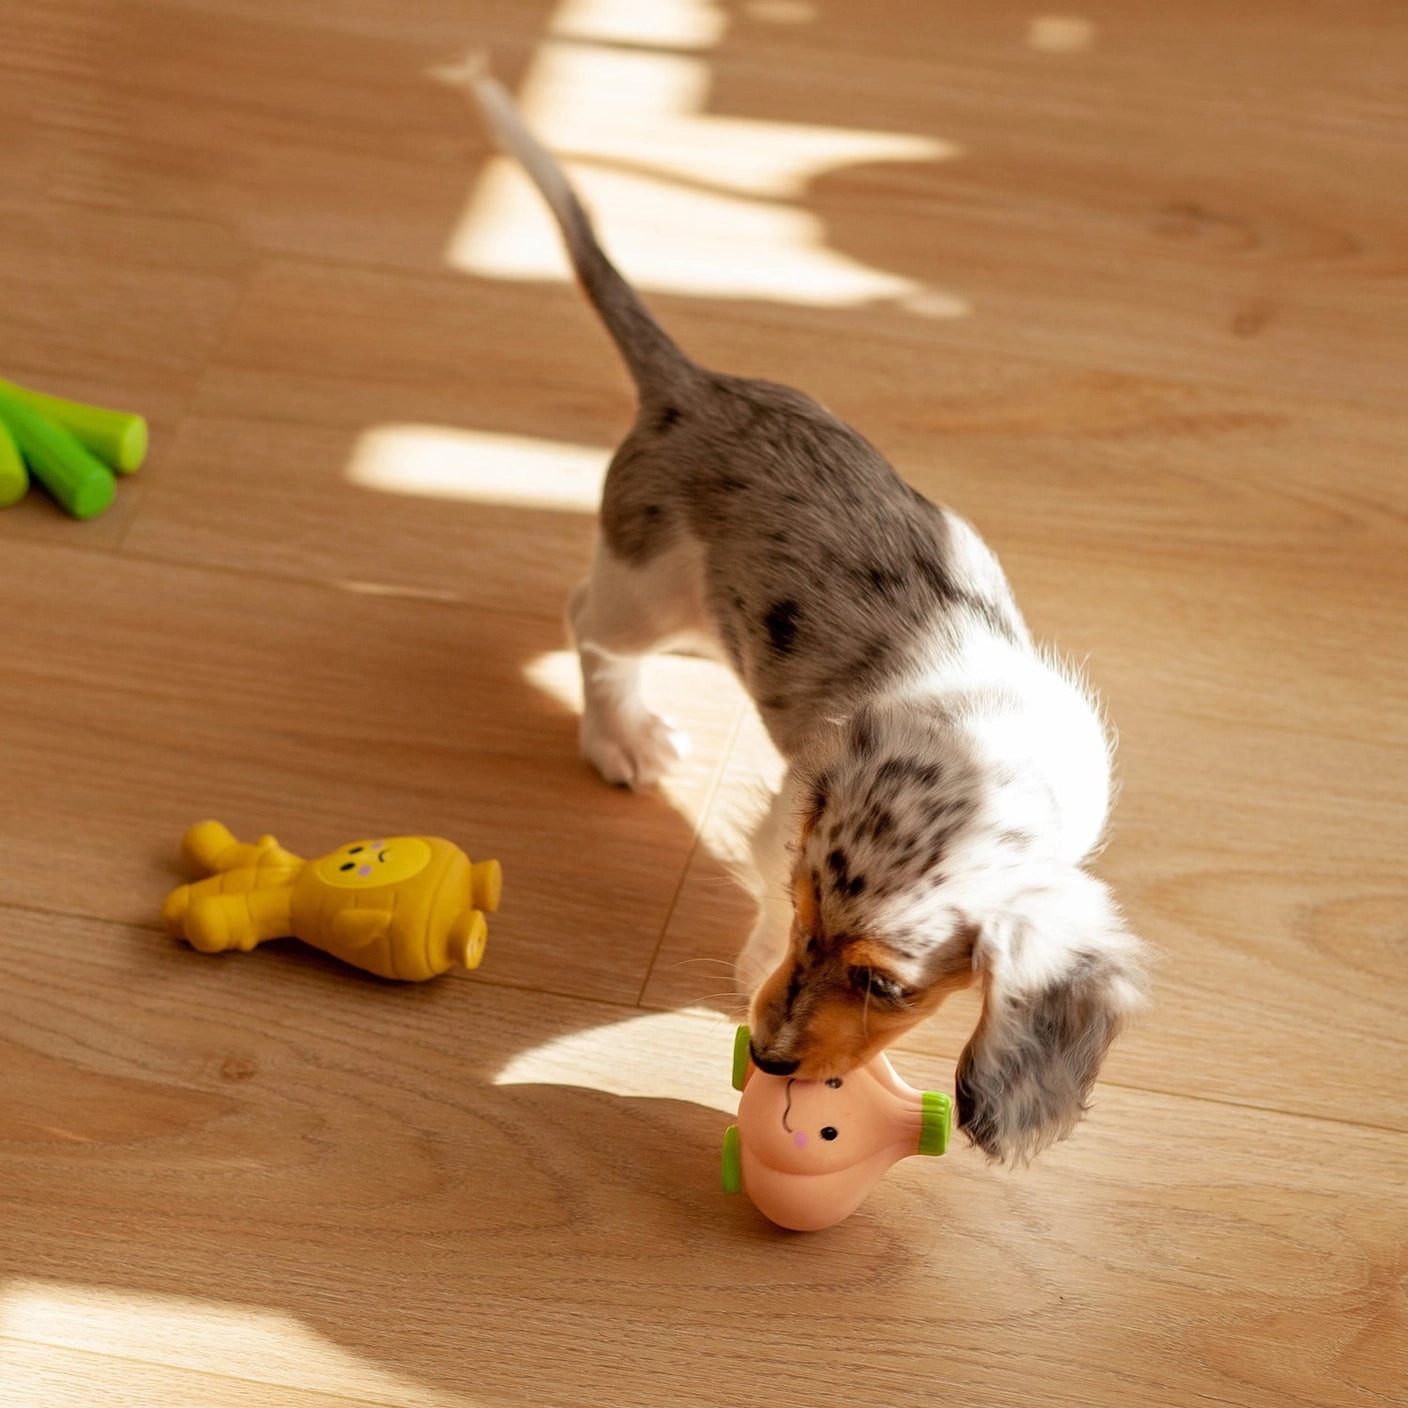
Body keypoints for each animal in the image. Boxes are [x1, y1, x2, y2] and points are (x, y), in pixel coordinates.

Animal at [467, 71, 1148, 1160]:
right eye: (800, 916)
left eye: (885, 984)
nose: (773, 1061)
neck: (979, 746)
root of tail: (692, 389)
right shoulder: (788, 818)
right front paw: (752, 977)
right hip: (646, 591)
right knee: (588, 624)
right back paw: (622, 736)